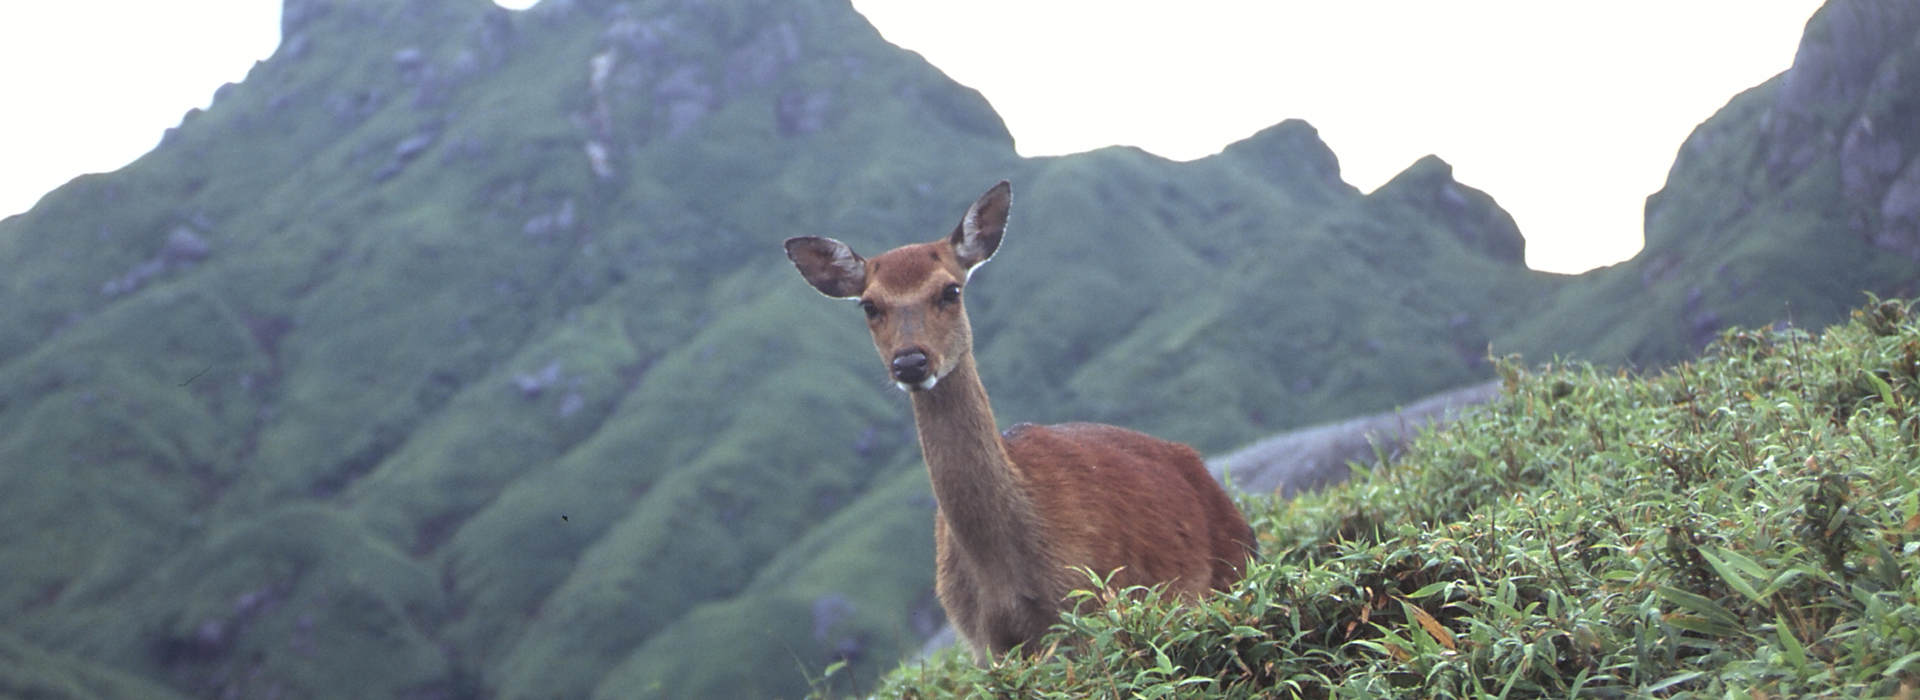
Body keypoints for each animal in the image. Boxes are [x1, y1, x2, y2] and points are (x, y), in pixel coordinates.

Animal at [783, 181, 1259, 659]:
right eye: (868, 305)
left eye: (950, 291)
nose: (911, 362)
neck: (1005, 576)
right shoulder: (980, 638)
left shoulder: (1091, 606)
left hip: (1233, 573)